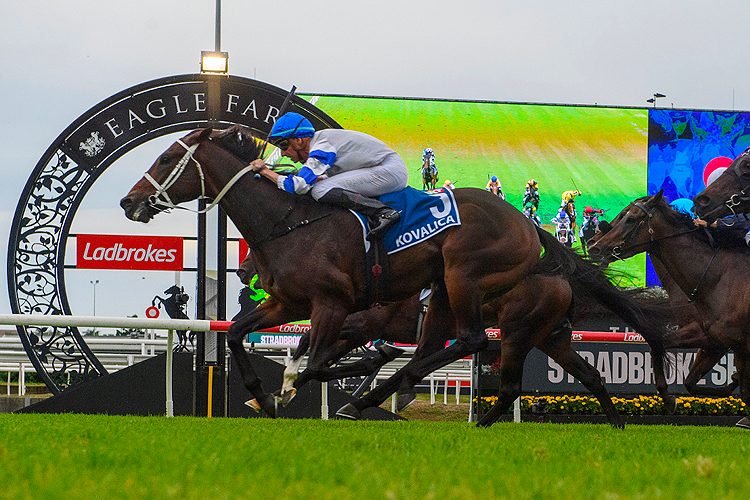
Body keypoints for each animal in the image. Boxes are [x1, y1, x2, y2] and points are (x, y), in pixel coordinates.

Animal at [122, 126, 548, 418]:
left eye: (166, 158)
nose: (129, 201)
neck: (288, 223)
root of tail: (529, 226)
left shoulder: (334, 305)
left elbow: (318, 363)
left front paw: (289, 387)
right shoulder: (289, 304)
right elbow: (239, 334)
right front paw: (263, 396)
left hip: (466, 279)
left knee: (470, 341)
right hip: (443, 289)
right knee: (439, 349)